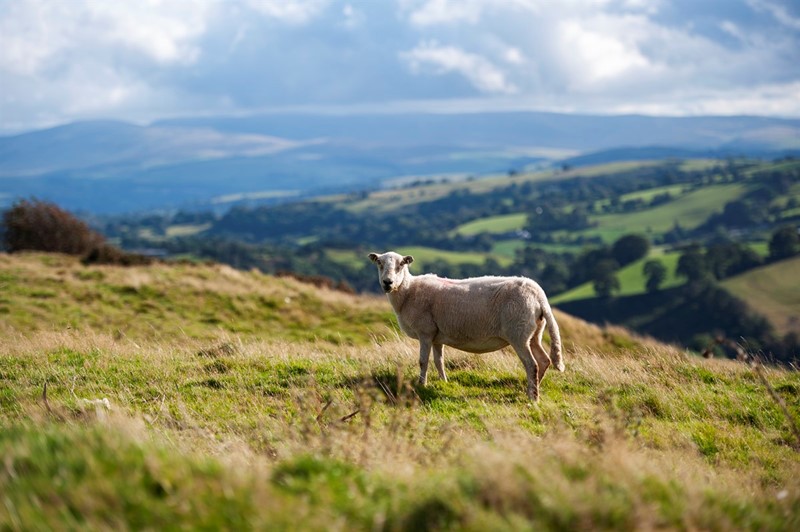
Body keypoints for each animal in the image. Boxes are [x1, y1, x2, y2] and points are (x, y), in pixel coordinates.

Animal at [368, 251, 564, 402]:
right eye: (379, 263)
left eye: (401, 264)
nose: (387, 282)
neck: (408, 291)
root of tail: (539, 295)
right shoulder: (436, 335)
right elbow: (439, 361)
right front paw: (444, 382)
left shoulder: (425, 332)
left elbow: (423, 361)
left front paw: (421, 385)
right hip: (534, 333)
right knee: (544, 360)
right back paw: (533, 388)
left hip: (518, 333)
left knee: (532, 364)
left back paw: (532, 397)